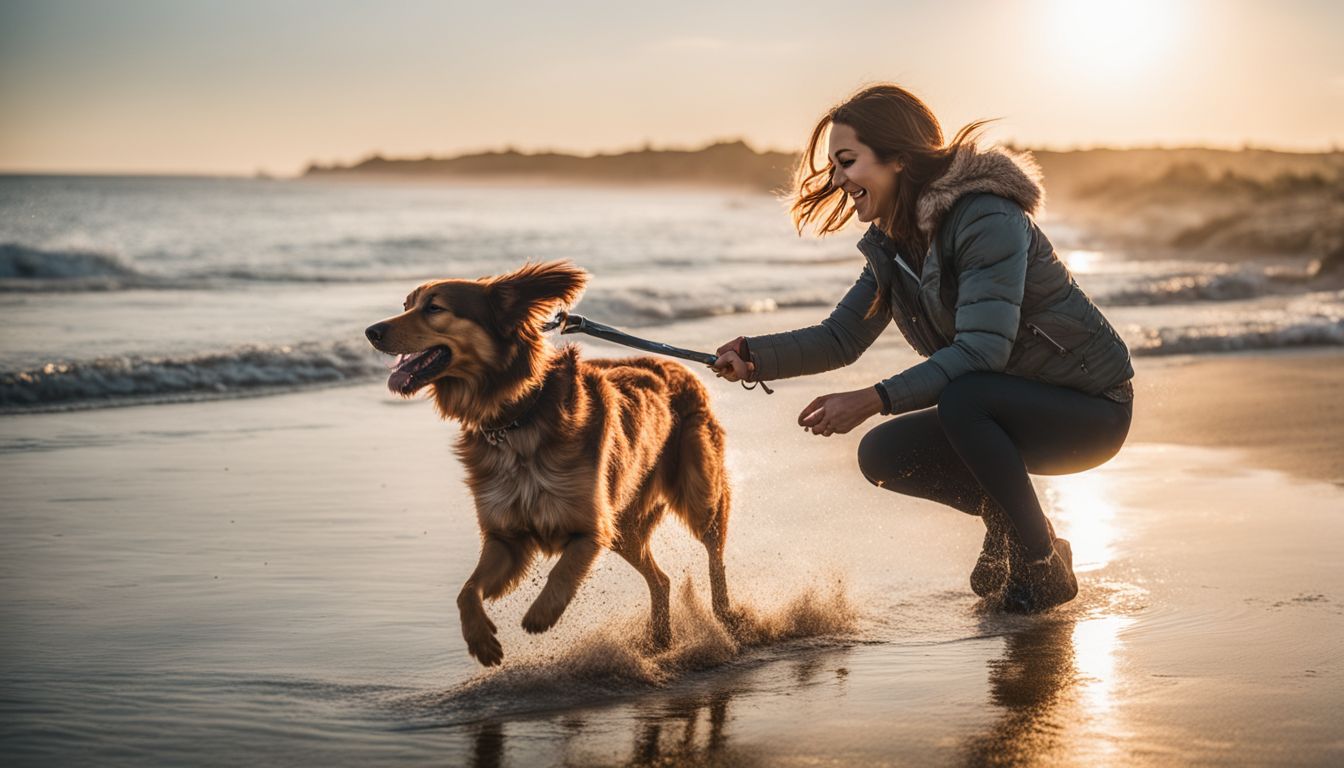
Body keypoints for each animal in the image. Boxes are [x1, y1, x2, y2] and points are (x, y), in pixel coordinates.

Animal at [362, 260, 731, 664]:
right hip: (626, 527)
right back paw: (660, 641)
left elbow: (563, 571)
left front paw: (541, 615)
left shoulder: (592, 526)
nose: (371, 332)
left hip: (696, 496)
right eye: (406, 305)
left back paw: (730, 619)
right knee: (661, 580)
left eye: (434, 307)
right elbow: (467, 590)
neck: (515, 418)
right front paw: (481, 639)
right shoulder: (506, 536)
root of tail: (682, 369)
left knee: (714, 554)